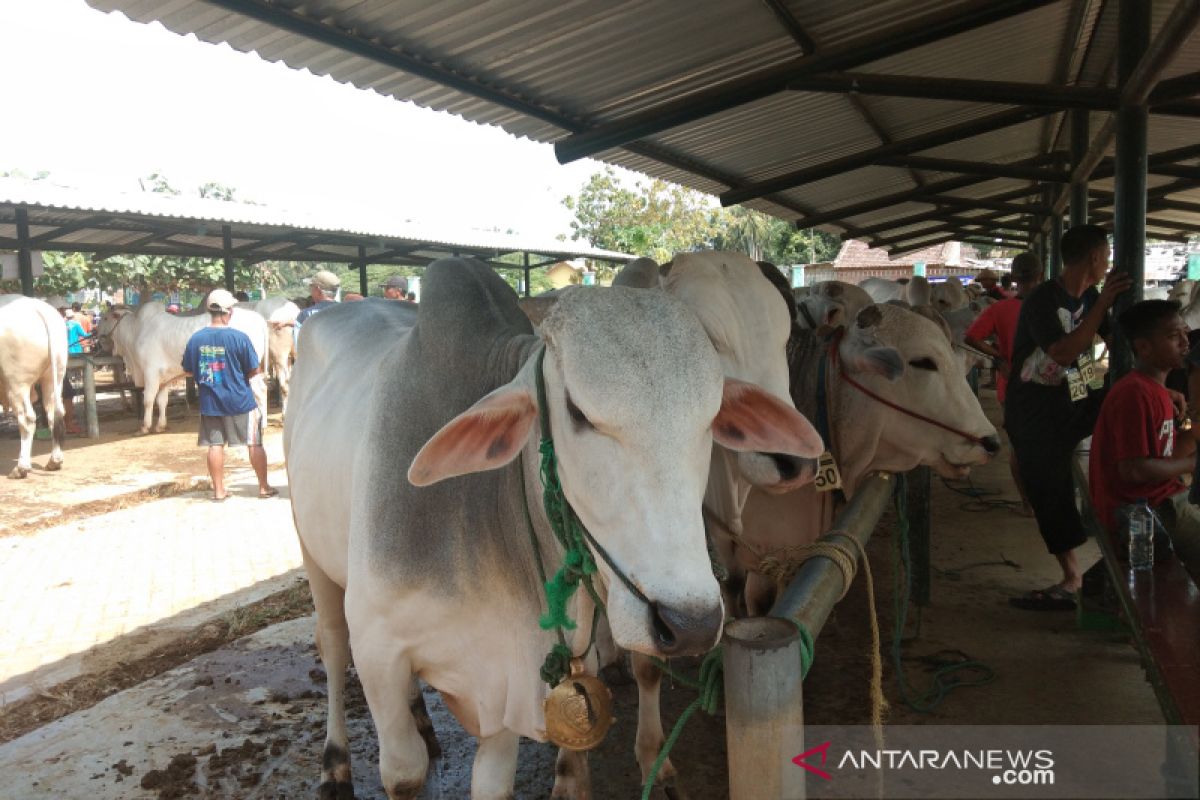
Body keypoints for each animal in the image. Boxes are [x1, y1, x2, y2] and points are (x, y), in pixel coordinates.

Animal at [0, 296, 67, 479]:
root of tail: (36, 306)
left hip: (17, 383)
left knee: (27, 419)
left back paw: (21, 468)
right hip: (54, 376)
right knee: (54, 414)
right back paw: (54, 461)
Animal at [99, 298, 270, 434]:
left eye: (105, 317)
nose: (96, 333)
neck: (135, 332)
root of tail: (259, 319)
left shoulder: (150, 372)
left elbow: (148, 399)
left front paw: (145, 427)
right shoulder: (164, 378)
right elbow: (162, 401)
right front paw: (160, 426)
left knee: (261, 391)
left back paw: (262, 424)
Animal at [285, 263, 820, 800]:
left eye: (711, 417)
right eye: (578, 412)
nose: (690, 623)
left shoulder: (509, 686)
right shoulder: (379, 653)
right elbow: (403, 774)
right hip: (312, 555)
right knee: (331, 647)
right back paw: (335, 763)